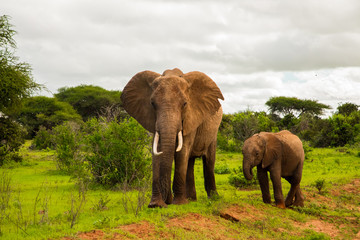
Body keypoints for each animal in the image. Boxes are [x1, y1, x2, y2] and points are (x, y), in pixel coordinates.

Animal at [121, 68, 224, 208]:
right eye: (152, 104)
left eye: (185, 104)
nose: (167, 201)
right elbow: (157, 151)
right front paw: (155, 204)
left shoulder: (191, 117)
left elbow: (182, 151)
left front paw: (178, 203)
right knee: (190, 162)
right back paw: (191, 199)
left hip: (214, 132)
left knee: (208, 160)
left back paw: (213, 198)